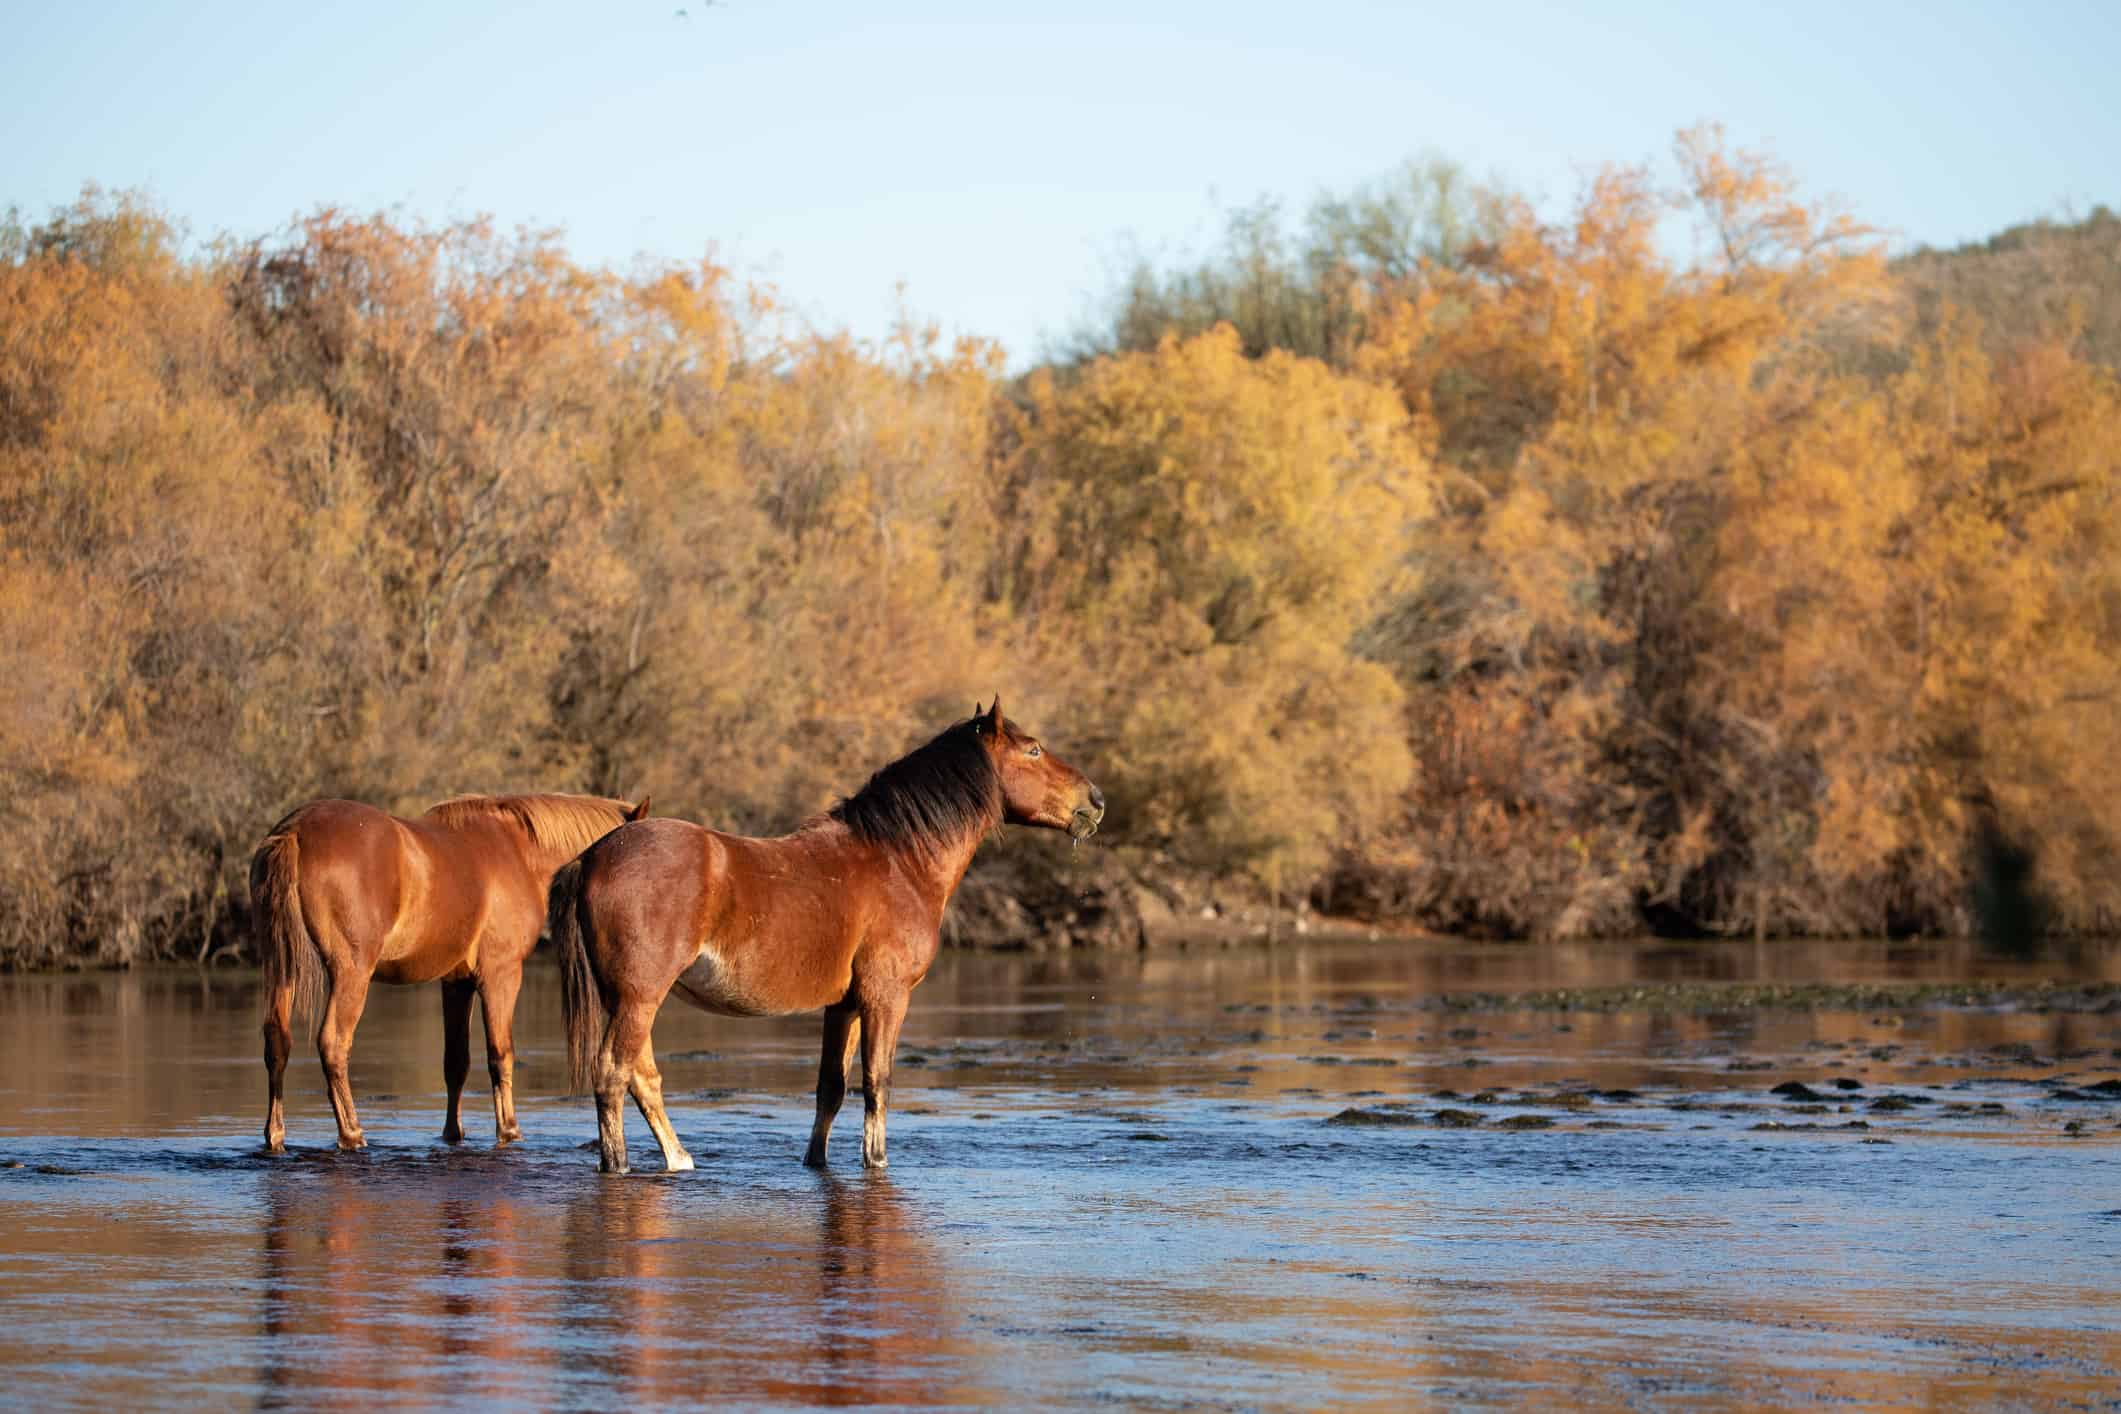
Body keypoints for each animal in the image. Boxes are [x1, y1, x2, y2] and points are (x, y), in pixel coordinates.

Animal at [250, 792, 644, 1153]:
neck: (517, 851)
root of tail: (295, 831)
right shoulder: (501, 974)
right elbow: (501, 1054)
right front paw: (510, 1131)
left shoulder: (456, 982)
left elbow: (456, 1062)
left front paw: (453, 1133)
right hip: (351, 972)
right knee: (333, 1043)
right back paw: (351, 1133)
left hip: (282, 969)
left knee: (277, 1041)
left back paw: (275, 1136)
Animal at [547, 703, 1102, 1178]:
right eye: (1034, 750)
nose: (1095, 800)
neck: (898, 861)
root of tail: (594, 855)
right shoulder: (886, 998)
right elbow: (878, 1083)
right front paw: (876, 1161)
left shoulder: (845, 1005)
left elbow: (831, 1088)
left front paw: (817, 1161)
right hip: (640, 997)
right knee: (613, 1074)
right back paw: (619, 1166)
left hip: (627, 999)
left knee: (642, 1077)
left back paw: (679, 1159)